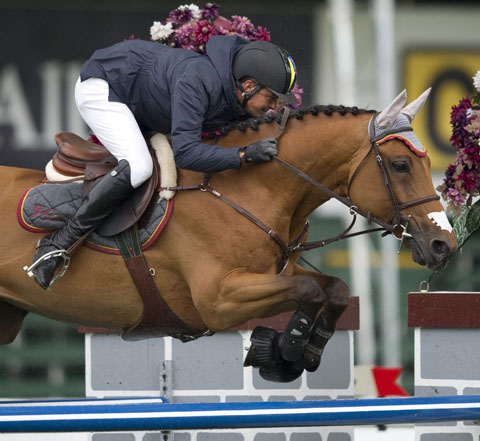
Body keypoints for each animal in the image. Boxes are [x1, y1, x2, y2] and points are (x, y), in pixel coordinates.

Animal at [0, 90, 458, 382]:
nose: (444, 245)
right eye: (400, 165)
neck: (248, 187)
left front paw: (290, 352)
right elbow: (311, 290)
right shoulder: (220, 299)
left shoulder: (273, 275)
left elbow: (335, 290)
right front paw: (286, 351)